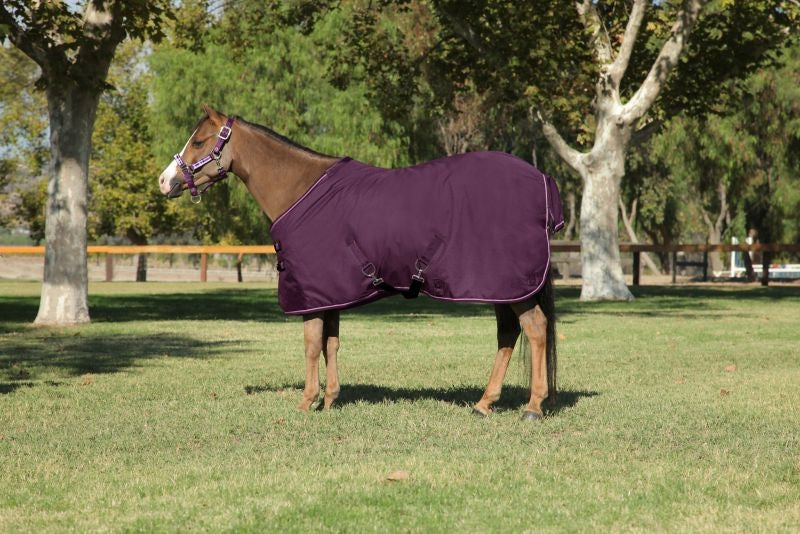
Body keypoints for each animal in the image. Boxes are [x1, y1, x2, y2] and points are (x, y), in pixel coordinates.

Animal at [158, 105, 564, 420]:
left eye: (198, 141)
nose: (164, 181)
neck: (301, 189)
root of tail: (541, 179)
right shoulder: (329, 292)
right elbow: (331, 343)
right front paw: (330, 400)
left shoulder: (311, 293)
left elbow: (311, 344)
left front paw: (306, 402)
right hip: (503, 287)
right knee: (508, 334)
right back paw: (484, 403)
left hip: (511, 285)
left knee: (535, 329)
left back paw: (533, 407)